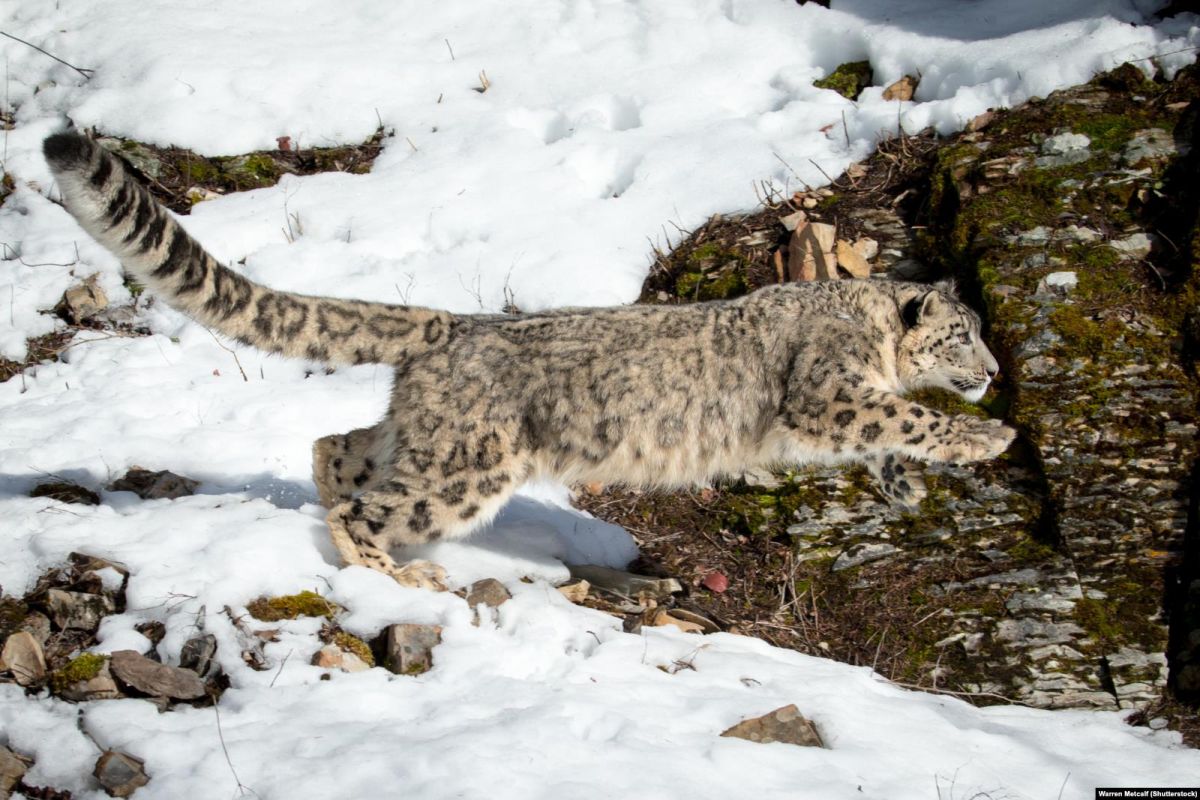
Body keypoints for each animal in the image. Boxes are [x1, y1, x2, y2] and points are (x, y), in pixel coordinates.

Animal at [42, 130, 1012, 582]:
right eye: (966, 332)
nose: (997, 373)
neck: (869, 328)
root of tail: (452, 326)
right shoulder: (827, 392)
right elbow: (901, 413)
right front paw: (986, 441)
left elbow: (893, 428)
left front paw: (908, 482)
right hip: (469, 466)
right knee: (371, 503)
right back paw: (397, 577)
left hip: (425, 437)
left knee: (338, 445)